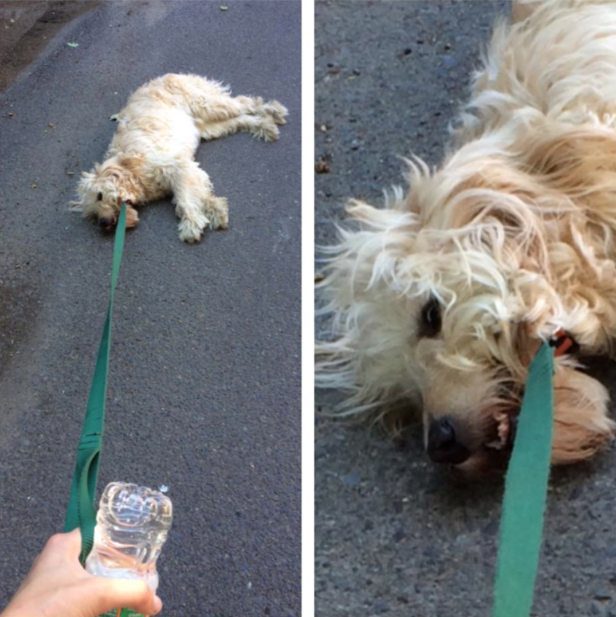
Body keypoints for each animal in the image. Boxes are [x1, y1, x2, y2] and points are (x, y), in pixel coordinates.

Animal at [71, 73, 288, 242]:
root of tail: (169, 75)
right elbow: (200, 192)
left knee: (245, 102)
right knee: (242, 118)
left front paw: (191, 225)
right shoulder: (187, 171)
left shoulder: (177, 168)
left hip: (209, 106)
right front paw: (215, 210)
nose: (103, 223)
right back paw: (265, 126)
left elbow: (185, 200)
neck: (130, 168)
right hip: (211, 126)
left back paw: (274, 110)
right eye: (93, 215)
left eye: (99, 195)